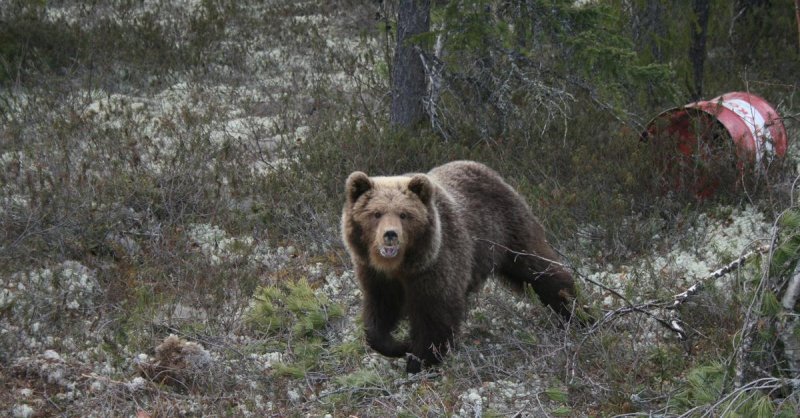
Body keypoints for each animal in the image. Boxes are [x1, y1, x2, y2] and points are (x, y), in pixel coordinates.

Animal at [338, 160, 576, 372]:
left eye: (404, 214)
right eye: (376, 213)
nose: (390, 235)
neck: (400, 266)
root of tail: (489, 170)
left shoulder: (435, 267)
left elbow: (435, 315)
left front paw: (420, 360)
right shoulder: (376, 276)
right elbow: (378, 315)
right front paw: (399, 345)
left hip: (509, 233)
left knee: (540, 269)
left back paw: (573, 311)